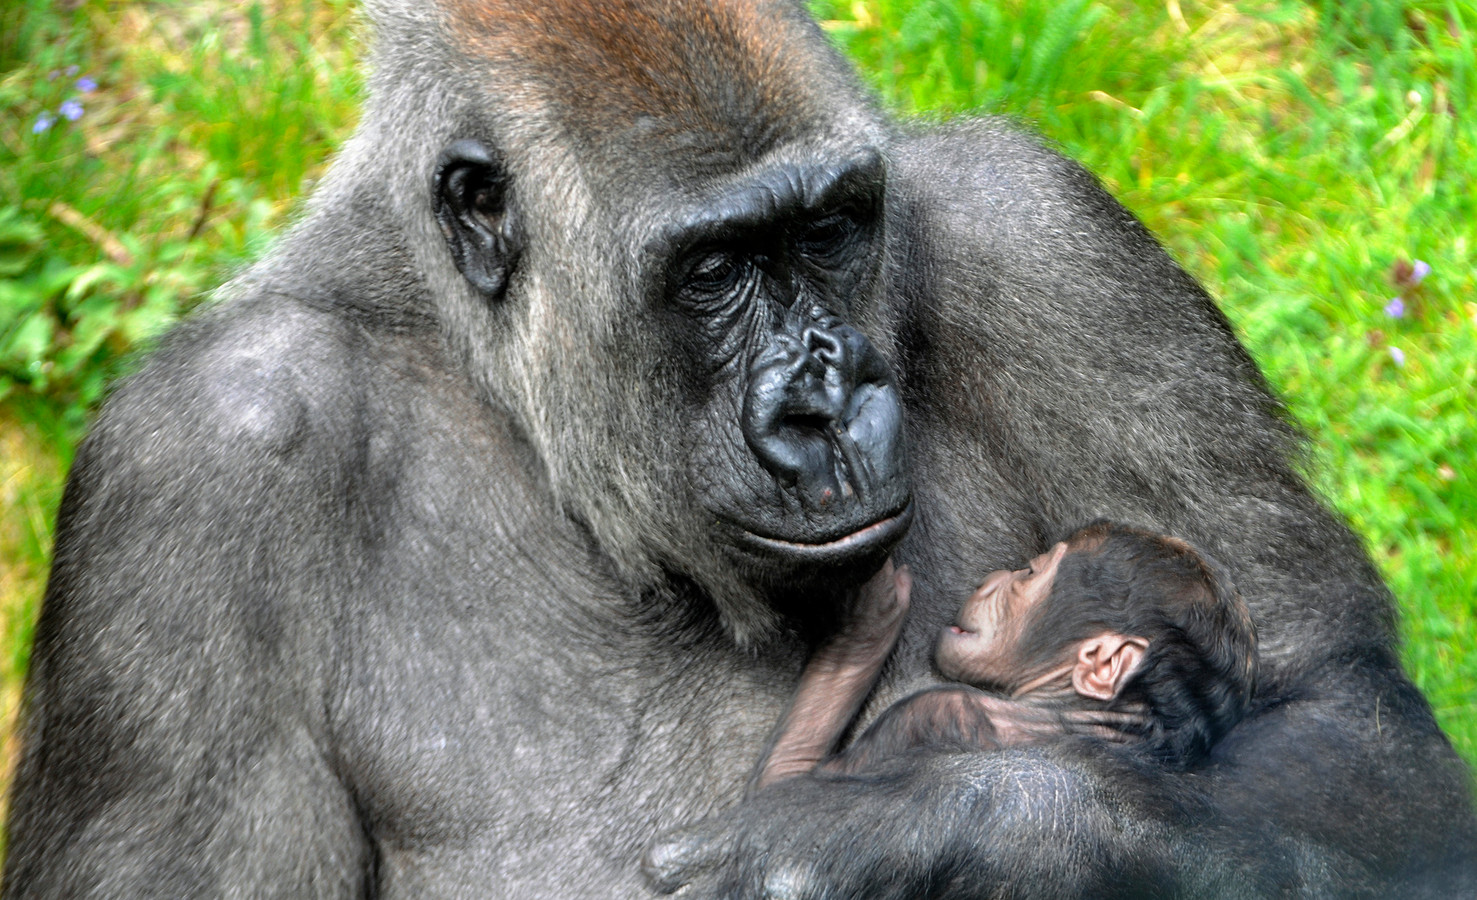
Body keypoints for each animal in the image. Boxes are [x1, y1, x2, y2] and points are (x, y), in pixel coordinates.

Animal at [5, 1, 1474, 897]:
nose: (821, 412)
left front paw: (948, 837)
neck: (506, 389)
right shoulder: (186, 466)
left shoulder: (1039, 232)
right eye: (713, 271)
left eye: (827, 230)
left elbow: (1344, 722)